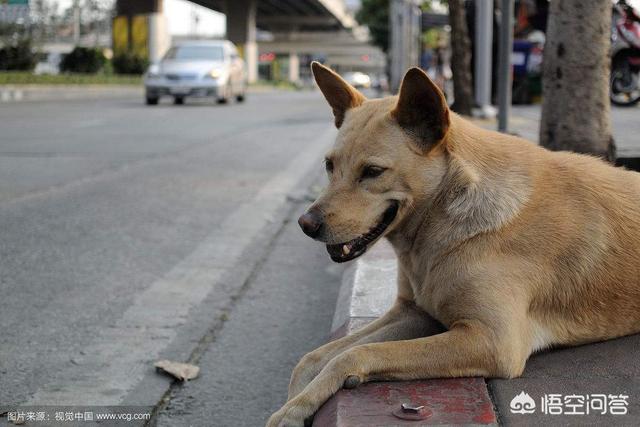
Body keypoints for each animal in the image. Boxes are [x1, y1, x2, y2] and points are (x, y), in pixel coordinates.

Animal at [264, 63, 640, 427]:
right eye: (329, 165)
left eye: (372, 171)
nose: (306, 224)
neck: (444, 217)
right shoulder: (414, 312)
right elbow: (316, 356)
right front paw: (296, 402)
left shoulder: (491, 341)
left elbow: (355, 354)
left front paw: (298, 406)